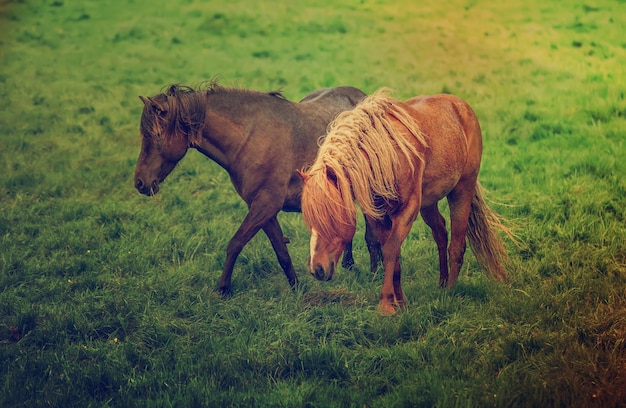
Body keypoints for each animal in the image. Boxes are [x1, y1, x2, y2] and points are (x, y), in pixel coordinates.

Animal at [133, 81, 380, 294]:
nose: (139, 182)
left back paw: (374, 272)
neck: (250, 138)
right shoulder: (263, 209)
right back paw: (348, 264)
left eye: (156, 135)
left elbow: (235, 243)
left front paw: (223, 289)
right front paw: (296, 288)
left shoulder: (265, 205)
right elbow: (281, 252)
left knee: (372, 235)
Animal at [298, 89, 512, 316]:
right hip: (428, 203)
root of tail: (460, 105)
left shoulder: (406, 212)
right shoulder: (378, 216)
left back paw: (450, 291)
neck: (386, 156)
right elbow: (394, 254)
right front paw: (400, 302)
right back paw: (442, 282)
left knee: (457, 245)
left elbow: (391, 251)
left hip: (462, 191)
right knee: (440, 233)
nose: (316, 269)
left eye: (331, 217)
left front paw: (385, 303)